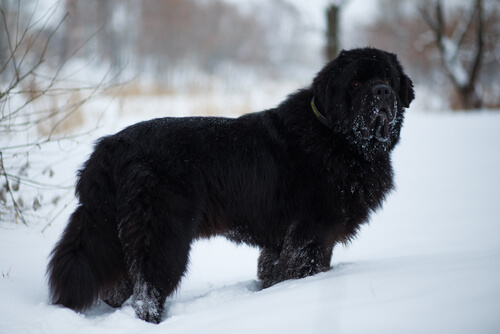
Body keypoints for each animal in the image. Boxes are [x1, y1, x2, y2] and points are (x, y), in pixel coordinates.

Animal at [47, 47, 414, 324]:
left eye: (388, 80)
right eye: (356, 82)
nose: (381, 92)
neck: (338, 138)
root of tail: (111, 145)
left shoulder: (282, 240)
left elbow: (272, 270)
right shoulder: (312, 233)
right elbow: (305, 269)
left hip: (115, 229)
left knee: (118, 285)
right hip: (163, 233)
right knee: (147, 289)